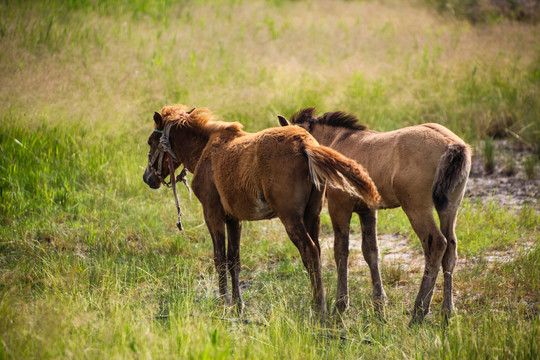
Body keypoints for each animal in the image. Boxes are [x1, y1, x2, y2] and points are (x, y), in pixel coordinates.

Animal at [143, 105, 380, 316]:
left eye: (150, 142)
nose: (147, 178)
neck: (206, 150)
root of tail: (305, 144)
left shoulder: (212, 213)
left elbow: (219, 259)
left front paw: (223, 305)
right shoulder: (234, 219)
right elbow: (234, 260)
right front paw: (237, 306)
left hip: (290, 218)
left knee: (310, 252)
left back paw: (319, 310)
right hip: (312, 215)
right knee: (318, 252)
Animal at [280, 107, 470, 324]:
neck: (337, 141)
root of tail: (453, 145)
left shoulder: (339, 207)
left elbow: (341, 251)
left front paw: (341, 305)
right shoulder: (367, 210)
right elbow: (371, 252)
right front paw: (379, 306)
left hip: (417, 208)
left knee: (436, 245)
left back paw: (418, 312)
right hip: (449, 208)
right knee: (450, 249)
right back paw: (447, 311)